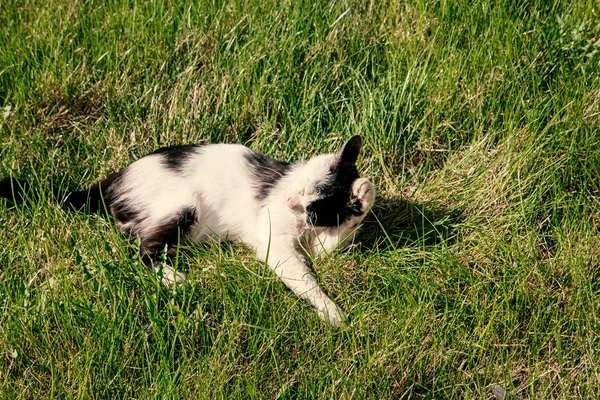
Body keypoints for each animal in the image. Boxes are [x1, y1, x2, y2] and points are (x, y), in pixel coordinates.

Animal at [1, 136, 376, 326]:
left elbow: (329, 247)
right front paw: (332, 311)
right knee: (138, 252)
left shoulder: (315, 240)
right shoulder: (274, 242)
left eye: (313, 208)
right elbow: (303, 277)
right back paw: (178, 280)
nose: (288, 201)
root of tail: (113, 179)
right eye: (300, 188)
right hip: (182, 206)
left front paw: (361, 197)